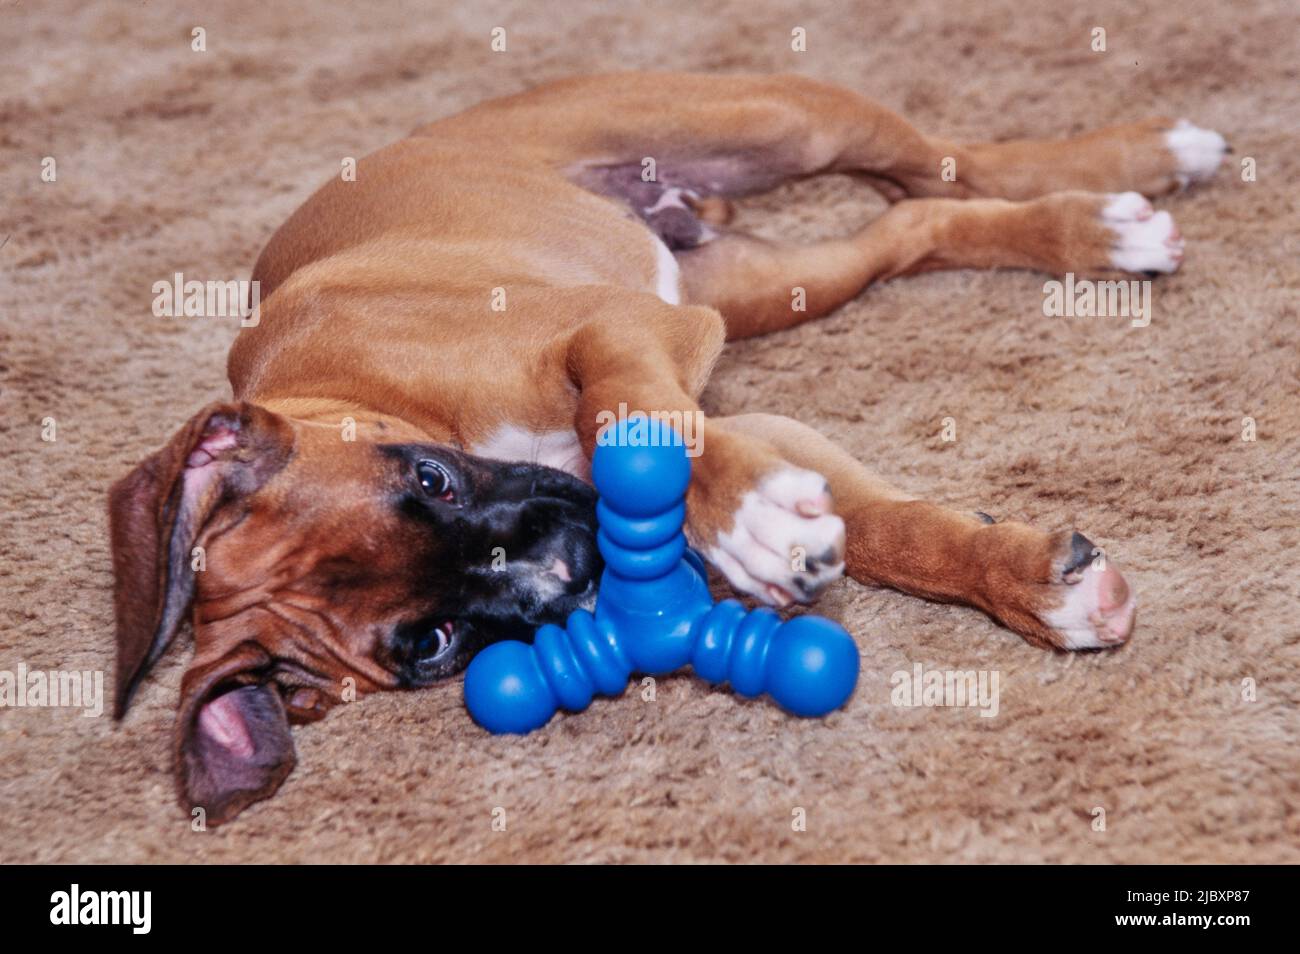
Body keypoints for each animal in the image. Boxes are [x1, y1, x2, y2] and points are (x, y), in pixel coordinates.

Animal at [111, 70, 1227, 826]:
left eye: (427, 480)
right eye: (428, 645)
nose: (566, 566)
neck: (364, 392)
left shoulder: (615, 328)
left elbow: (625, 417)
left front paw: (749, 523)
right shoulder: (728, 392)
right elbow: (893, 532)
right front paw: (1029, 583)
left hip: (774, 123)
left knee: (945, 160)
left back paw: (1140, 166)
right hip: (772, 282)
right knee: (918, 220)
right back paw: (1091, 232)